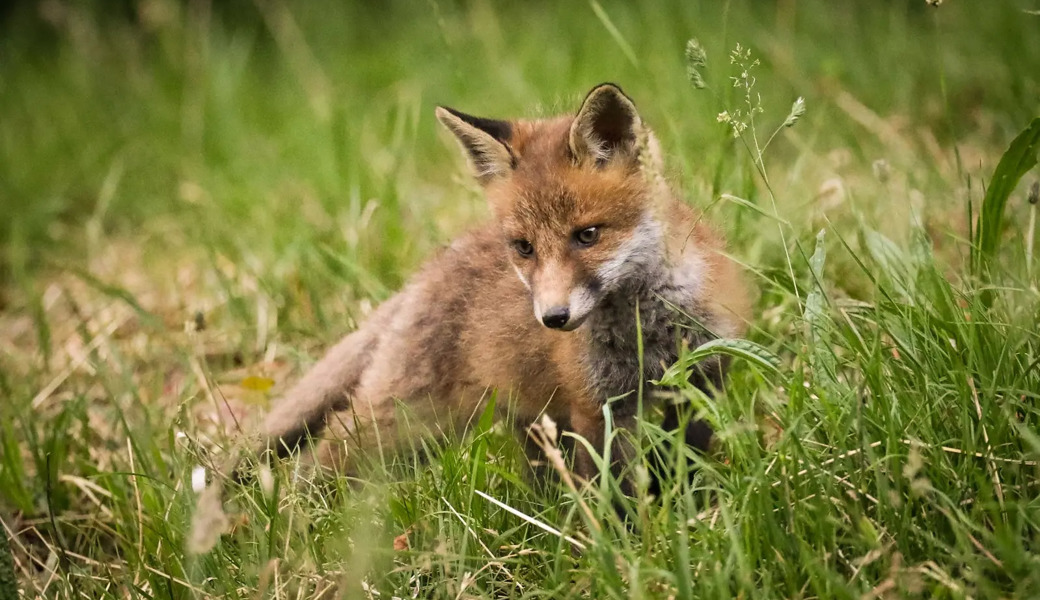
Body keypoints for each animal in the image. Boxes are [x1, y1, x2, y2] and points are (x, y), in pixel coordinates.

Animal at [256, 84, 752, 486]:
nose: (553, 318)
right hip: (407, 423)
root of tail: (422, 276)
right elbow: (614, 493)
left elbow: (684, 466)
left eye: (587, 235)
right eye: (524, 247)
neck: (647, 328)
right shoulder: (595, 407)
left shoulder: (704, 382)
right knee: (322, 456)